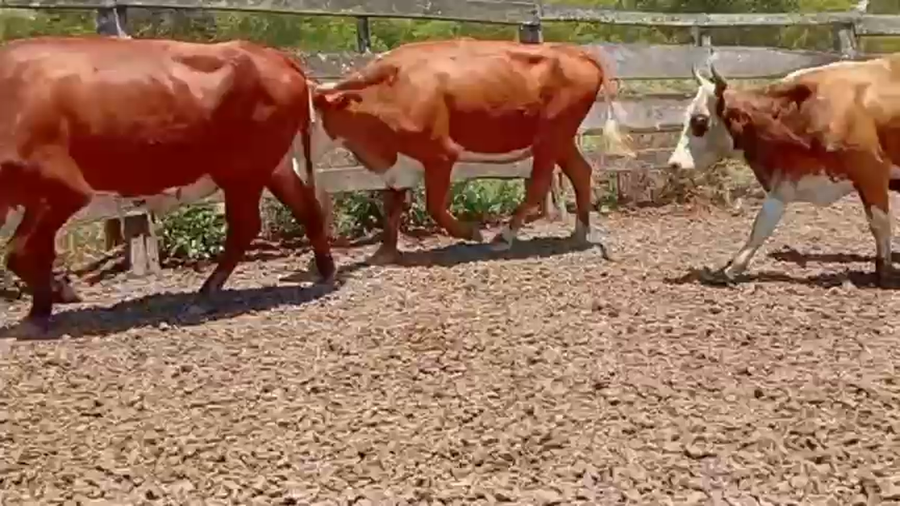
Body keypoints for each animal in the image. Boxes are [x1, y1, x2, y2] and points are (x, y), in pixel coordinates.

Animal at [0, 35, 336, 336]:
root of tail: (274, 55)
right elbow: (37, 252)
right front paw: (45, 305)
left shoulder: (64, 189)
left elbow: (18, 252)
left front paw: (52, 301)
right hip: (272, 167)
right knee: (304, 207)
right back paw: (326, 269)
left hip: (243, 171)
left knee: (246, 225)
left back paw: (205, 294)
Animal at [306, 39, 633, 265]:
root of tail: (577, 52)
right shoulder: (400, 164)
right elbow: (392, 206)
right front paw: (383, 253)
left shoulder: (440, 155)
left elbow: (435, 207)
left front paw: (472, 233)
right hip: (561, 140)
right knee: (580, 172)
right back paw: (579, 231)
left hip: (551, 137)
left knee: (539, 183)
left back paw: (504, 236)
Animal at [666, 56, 900, 286]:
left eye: (700, 121)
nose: (674, 163)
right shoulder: (786, 180)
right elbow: (761, 226)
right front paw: (730, 270)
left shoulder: (871, 173)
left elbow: (879, 223)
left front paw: (884, 271)